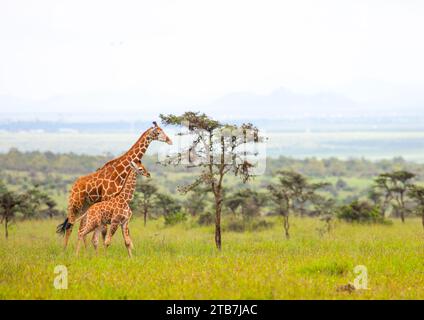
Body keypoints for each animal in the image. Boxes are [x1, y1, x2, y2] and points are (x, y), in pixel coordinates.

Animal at [56, 121, 172, 249]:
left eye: (162, 130)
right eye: (158, 132)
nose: (169, 140)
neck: (120, 172)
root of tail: (73, 186)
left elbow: (124, 231)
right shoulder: (108, 199)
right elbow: (105, 231)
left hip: (86, 205)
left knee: (81, 227)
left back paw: (85, 250)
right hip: (75, 204)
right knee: (70, 226)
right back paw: (64, 249)